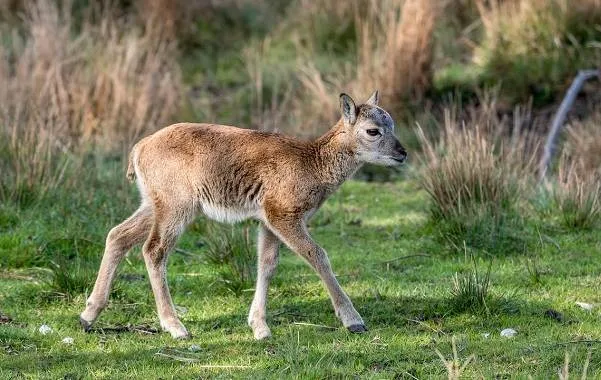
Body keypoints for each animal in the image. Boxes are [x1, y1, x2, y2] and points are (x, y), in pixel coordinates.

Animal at [79, 91, 406, 338]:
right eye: (373, 130)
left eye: (392, 123)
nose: (402, 153)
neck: (312, 164)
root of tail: (138, 148)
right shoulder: (283, 214)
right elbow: (317, 255)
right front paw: (354, 320)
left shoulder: (266, 221)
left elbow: (267, 264)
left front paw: (259, 327)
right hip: (176, 206)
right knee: (153, 249)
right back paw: (176, 327)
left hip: (153, 202)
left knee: (118, 235)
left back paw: (87, 316)